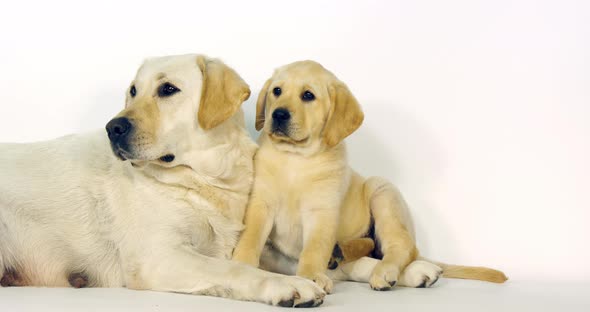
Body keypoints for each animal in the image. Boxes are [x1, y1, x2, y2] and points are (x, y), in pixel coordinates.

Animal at [0, 54, 326, 308]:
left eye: (168, 89)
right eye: (133, 91)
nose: (113, 127)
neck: (201, 179)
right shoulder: (158, 256)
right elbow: (233, 270)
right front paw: (288, 285)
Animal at [232, 60, 508, 292]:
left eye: (308, 95)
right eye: (276, 91)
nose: (278, 114)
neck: (295, 159)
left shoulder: (322, 211)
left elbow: (314, 248)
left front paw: (310, 275)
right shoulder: (260, 203)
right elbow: (250, 238)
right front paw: (243, 266)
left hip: (382, 191)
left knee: (400, 247)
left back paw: (384, 271)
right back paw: (344, 253)